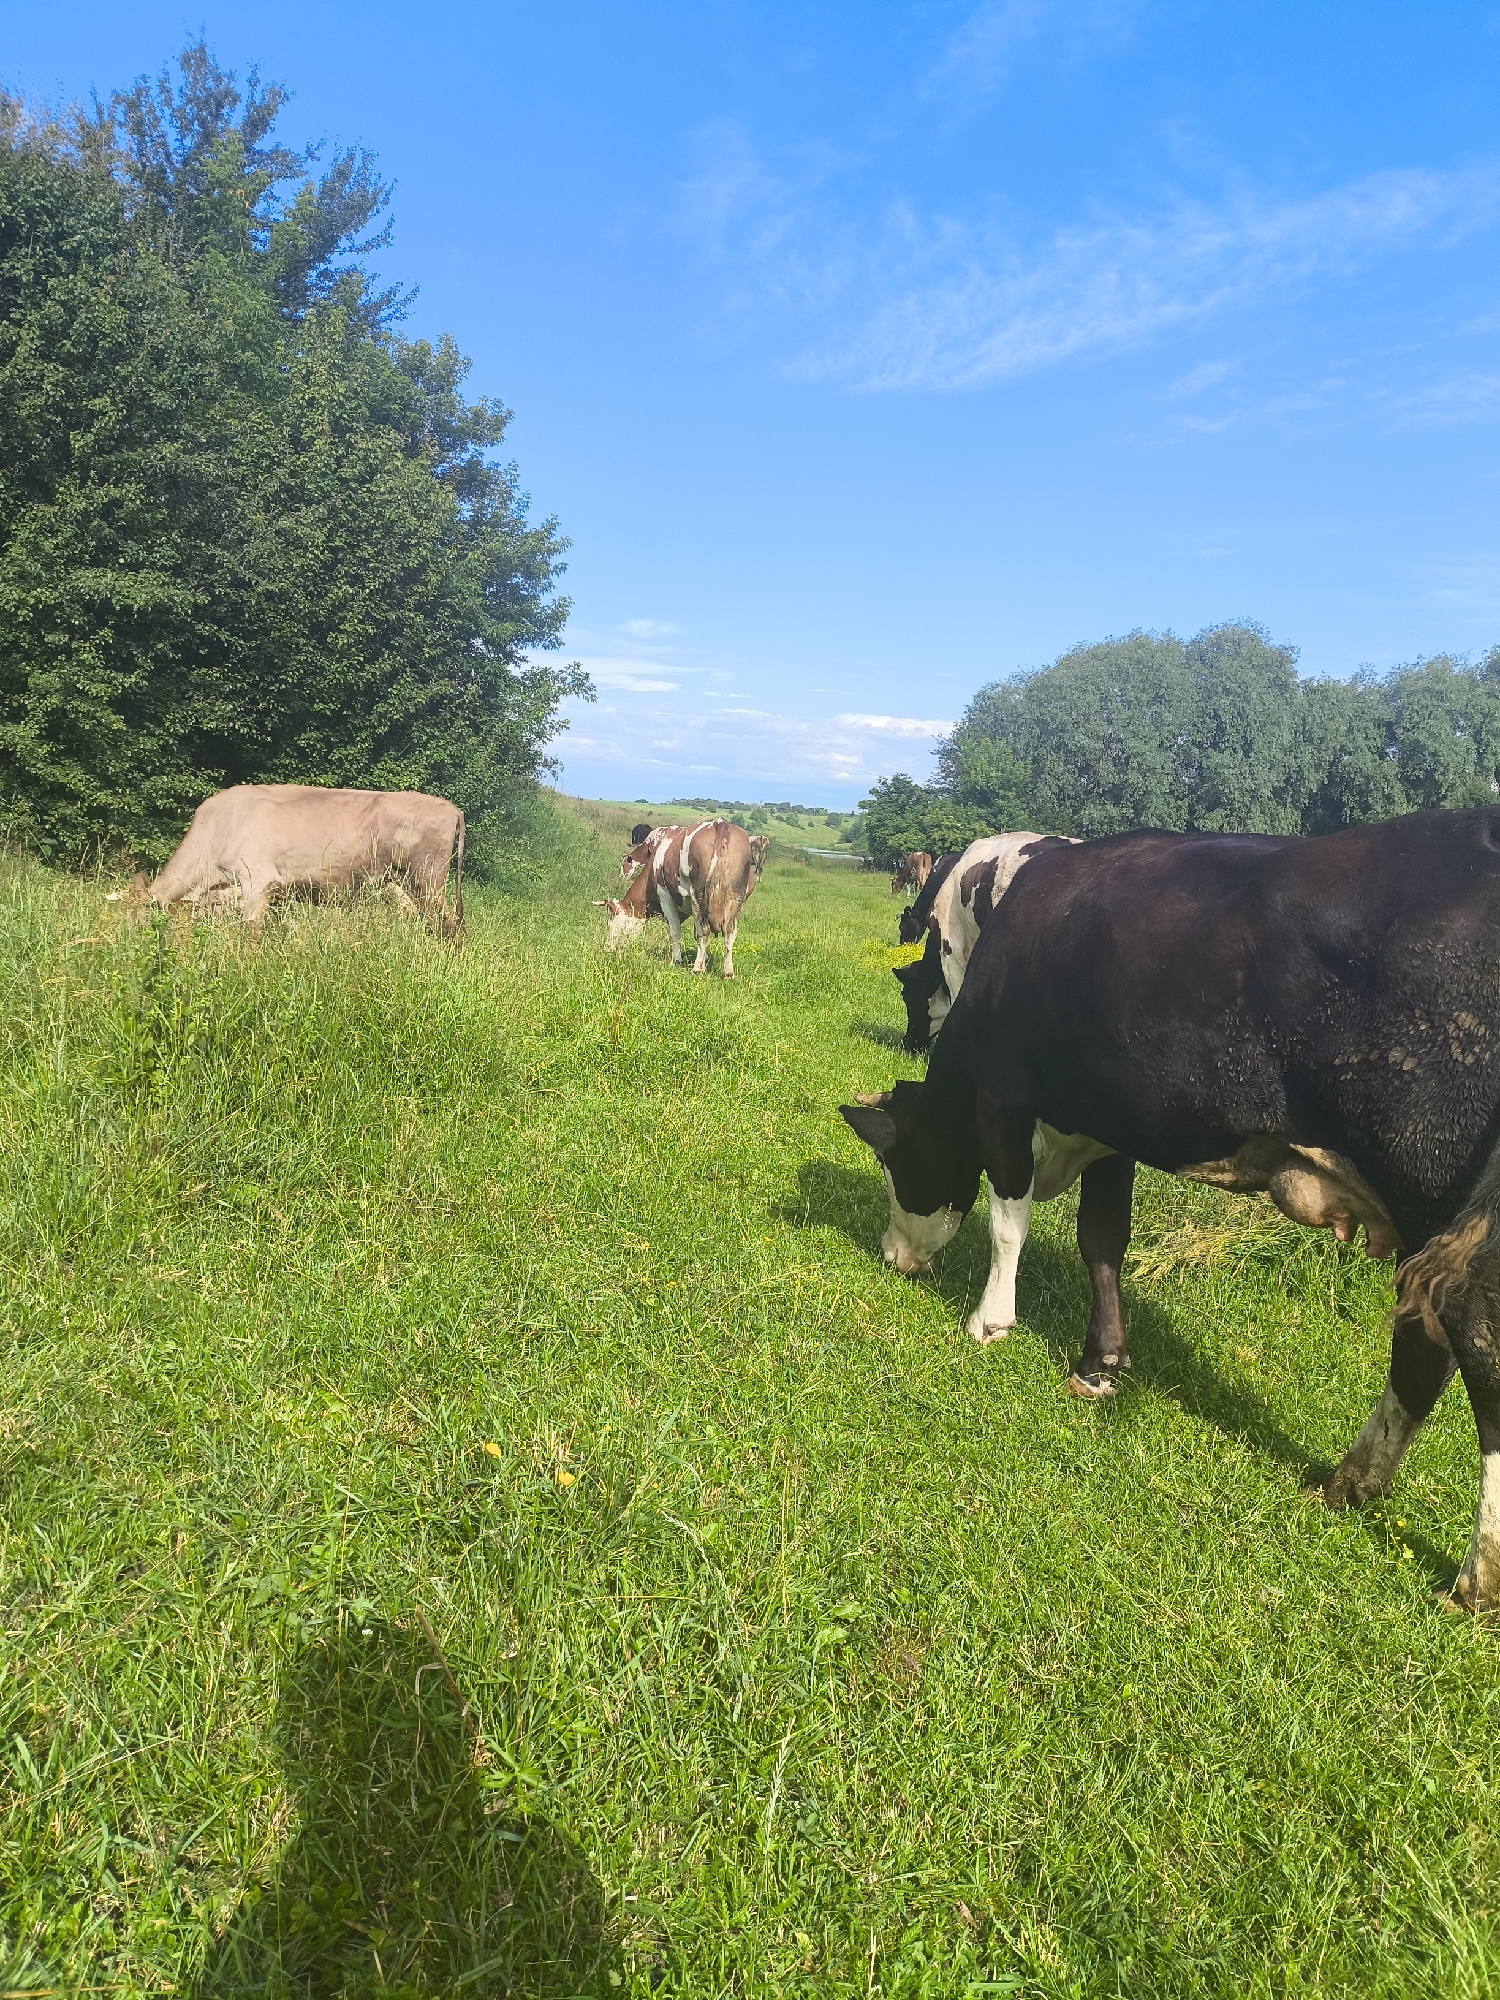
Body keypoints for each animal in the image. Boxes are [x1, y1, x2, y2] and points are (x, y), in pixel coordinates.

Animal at [132, 784, 465, 932]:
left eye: (139, 922)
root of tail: (452, 807)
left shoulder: (257, 881)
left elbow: (250, 932)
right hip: (402, 883)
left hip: (428, 880)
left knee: (451, 924)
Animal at [618, 819, 762, 975]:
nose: (610, 948)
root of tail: (721, 824)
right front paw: (705, 958)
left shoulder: (665, 896)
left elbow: (675, 932)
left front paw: (677, 960)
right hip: (736, 896)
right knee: (729, 931)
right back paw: (727, 971)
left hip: (699, 894)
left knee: (704, 930)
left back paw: (698, 968)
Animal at [839, 810, 1500, 1613]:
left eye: (895, 1166)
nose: (892, 1257)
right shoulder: (1110, 1121)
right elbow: (1102, 1240)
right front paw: (1100, 1363)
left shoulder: (1005, 1097)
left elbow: (1007, 1219)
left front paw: (991, 1318)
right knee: (1423, 1346)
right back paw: (1351, 1482)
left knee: (1473, 1341)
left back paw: (1476, 1574)